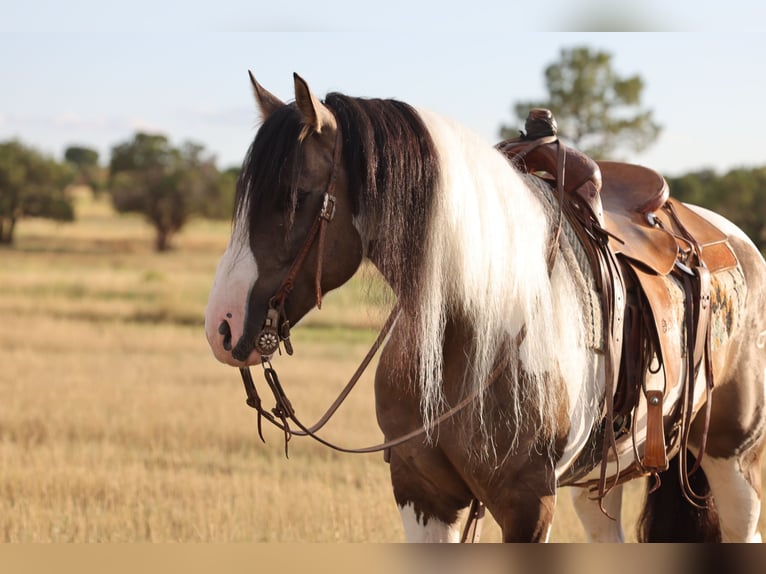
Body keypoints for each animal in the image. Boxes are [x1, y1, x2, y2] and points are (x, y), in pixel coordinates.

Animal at [204, 72, 766, 542]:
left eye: (297, 197)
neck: (478, 322)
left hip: (733, 460)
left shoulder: (528, 502)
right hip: (601, 480)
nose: (221, 328)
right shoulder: (421, 492)